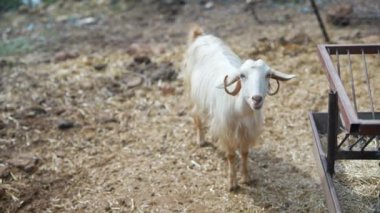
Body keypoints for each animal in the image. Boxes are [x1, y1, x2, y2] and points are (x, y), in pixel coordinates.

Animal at [183, 25, 296, 191]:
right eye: (242, 76)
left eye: (267, 75)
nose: (257, 99)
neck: (241, 110)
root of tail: (201, 36)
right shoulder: (228, 131)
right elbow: (231, 156)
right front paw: (232, 184)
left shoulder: (247, 131)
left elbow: (245, 153)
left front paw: (246, 178)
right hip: (192, 93)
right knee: (196, 116)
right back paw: (201, 141)